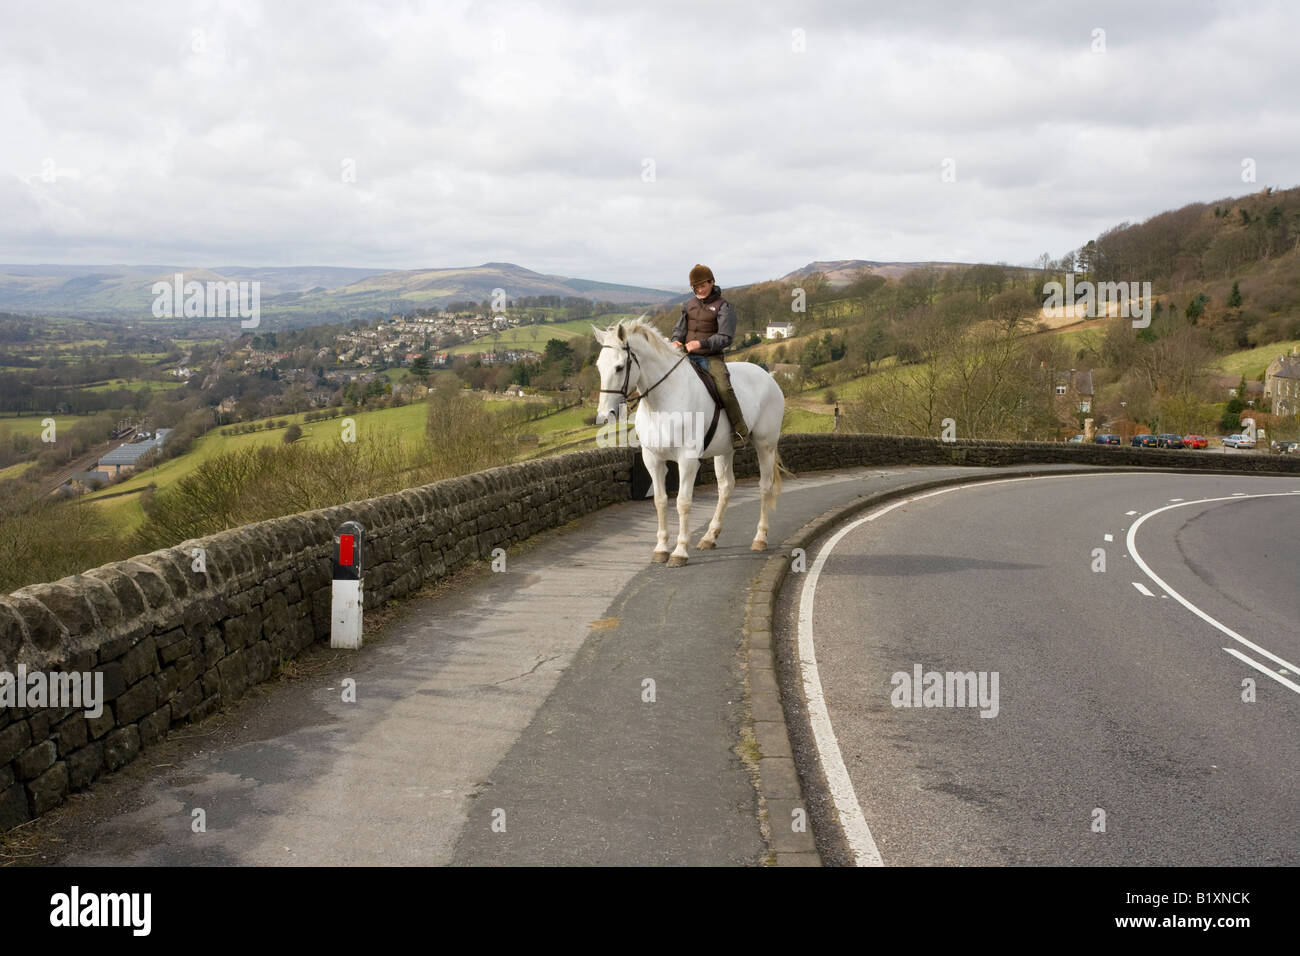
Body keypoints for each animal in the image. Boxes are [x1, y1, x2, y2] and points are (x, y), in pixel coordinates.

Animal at [595, 317, 785, 564]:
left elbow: (682, 502)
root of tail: (768, 377)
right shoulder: (652, 459)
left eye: (619, 367)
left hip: (765, 445)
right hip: (725, 450)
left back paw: (760, 538)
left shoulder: (687, 459)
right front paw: (661, 549)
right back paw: (710, 537)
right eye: (599, 366)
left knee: (765, 486)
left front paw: (680, 551)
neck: (662, 400)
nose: (605, 415)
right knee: (726, 486)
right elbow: (660, 501)